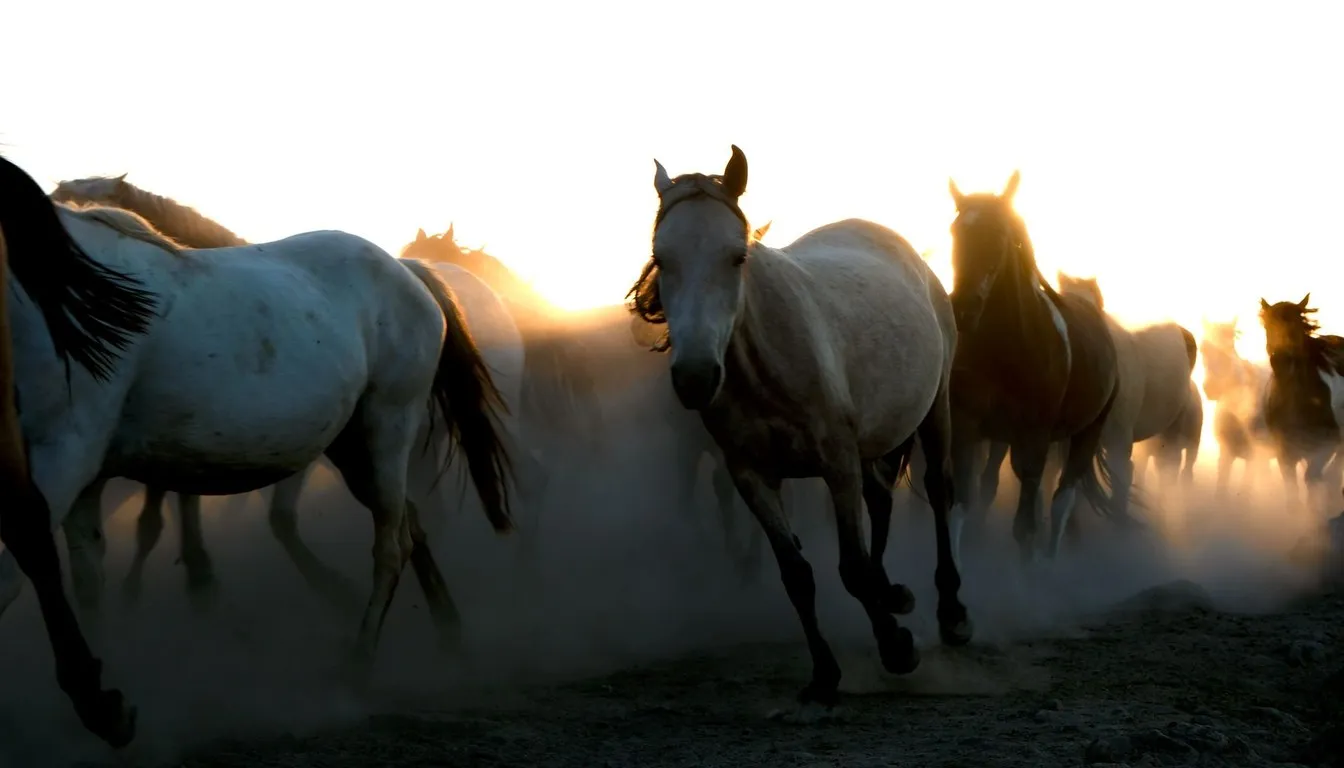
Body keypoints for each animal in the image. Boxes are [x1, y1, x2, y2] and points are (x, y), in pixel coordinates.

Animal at [630, 145, 972, 710]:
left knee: (939, 492)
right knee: (880, 501)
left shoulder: (836, 462)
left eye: (736, 257)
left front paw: (897, 649)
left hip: (937, 407)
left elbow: (850, 568)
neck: (766, 364)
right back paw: (893, 593)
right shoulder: (751, 476)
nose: (696, 377)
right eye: (663, 259)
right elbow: (797, 575)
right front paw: (826, 672)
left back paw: (952, 616)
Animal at [946, 171, 1126, 563]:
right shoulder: (967, 430)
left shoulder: (1034, 440)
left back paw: (1050, 561)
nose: (963, 308)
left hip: (1086, 433)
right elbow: (960, 508)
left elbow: (1025, 527)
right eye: (955, 231)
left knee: (1063, 500)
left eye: (999, 234)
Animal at [1200, 318, 1272, 499]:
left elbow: (1245, 495)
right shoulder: (1226, 453)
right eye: (1202, 347)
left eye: (1230, 346)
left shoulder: (1254, 458)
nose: (1211, 388)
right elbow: (1221, 492)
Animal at [1259, 294, 1344, 511]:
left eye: (1297, 325)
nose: (1280, 360)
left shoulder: (1326, 446)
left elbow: (1312, 478)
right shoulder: (1285, 452)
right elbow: (1293, 496)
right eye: (1268, 325)